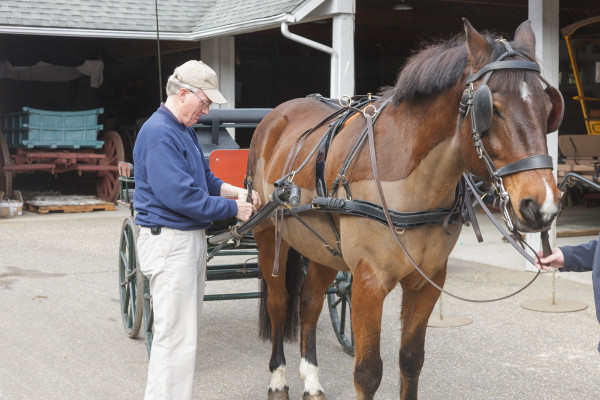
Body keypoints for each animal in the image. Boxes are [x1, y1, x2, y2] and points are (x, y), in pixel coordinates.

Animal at [246, 18, 560, 400]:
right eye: (492, 108)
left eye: (549, 108)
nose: (542, 205)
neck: (416, 185)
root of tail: (277, 114)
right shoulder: (368, 282)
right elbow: (368, 372)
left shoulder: (428, 281)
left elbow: (411, 359)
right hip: (267, 235)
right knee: (279, 303)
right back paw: (279, 377)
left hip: (324, 249)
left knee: (310, 302)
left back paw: (311, 377)